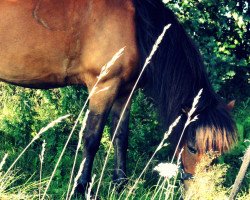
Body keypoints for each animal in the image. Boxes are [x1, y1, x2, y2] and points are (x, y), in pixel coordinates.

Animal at [0, 0, 236, 195]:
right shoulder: (103, 87)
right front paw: (81, 188)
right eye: (193, 148)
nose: (200, 192)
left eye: (218, 154)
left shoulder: (125, 92)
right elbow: (92, 139)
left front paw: (120, 184)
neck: (137, 25)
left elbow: (121, 137)